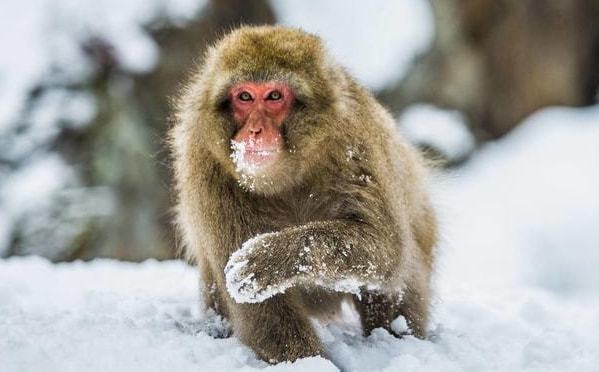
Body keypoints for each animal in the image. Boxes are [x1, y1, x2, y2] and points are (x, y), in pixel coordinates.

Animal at [171, 26, 438, 364]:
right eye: (244, 97)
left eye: (274, 96)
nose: (255, 131)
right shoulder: (207, 166)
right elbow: (266, 311)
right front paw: (308, 361)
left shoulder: (355, 141)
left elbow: (385, 246)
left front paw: (269, 258)